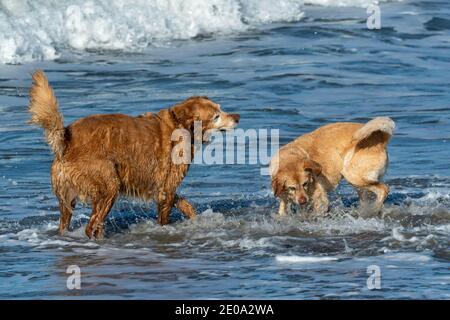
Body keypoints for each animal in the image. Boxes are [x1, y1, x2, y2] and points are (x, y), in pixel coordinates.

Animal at [28, 71, 239, 239]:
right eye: (216, 116)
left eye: (220, 108)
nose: (237, 117)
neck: (179, 123)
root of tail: (66, 140)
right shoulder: (167, 186)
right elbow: (166, 213)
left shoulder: (161, 186)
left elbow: (185, 204)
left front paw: (194, 219)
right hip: (109, 184)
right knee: (92, 225)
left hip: (68, 196)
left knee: (69, 223)